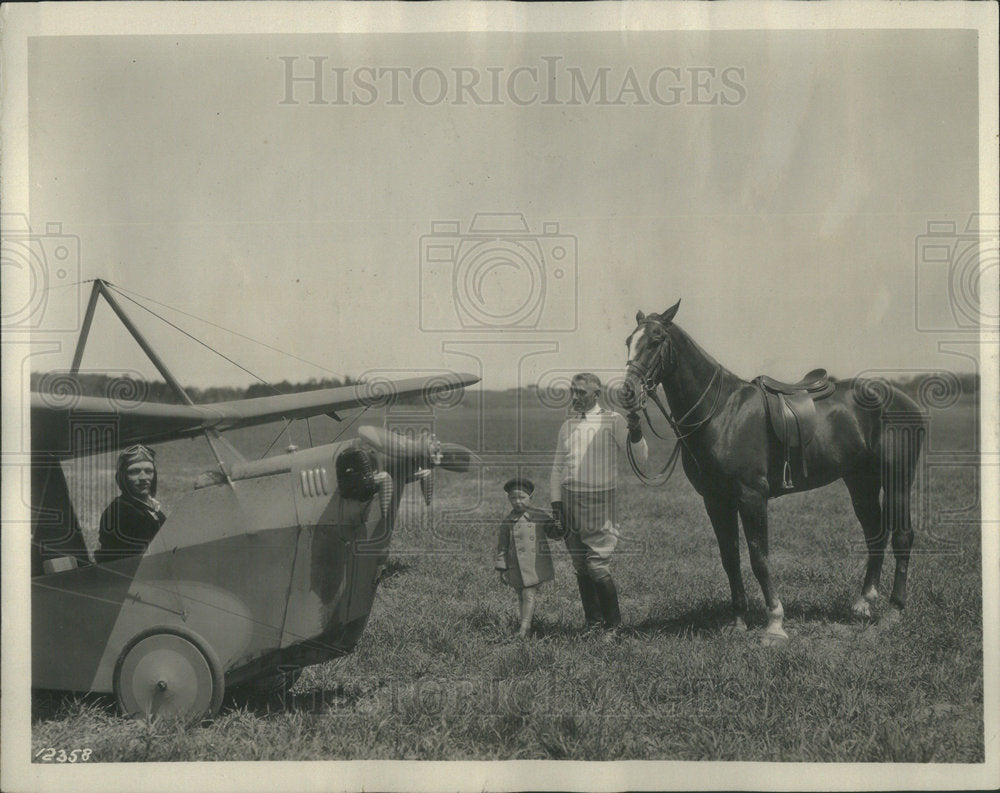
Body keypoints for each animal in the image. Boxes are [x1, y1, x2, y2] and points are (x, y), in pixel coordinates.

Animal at [620, 298, 924, 644]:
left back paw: (894, 611)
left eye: (656, 340)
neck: (722, 412)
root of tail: (904, 400)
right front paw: (738, 620)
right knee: (875, 533)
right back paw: (864, 603)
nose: (627, 391)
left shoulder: (752, 496)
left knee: (902, 536)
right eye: (629, 341)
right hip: (861, 482)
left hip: (897, 479)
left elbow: (759, 558)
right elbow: (730, 558)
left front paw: (775, 624)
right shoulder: (716, 500)